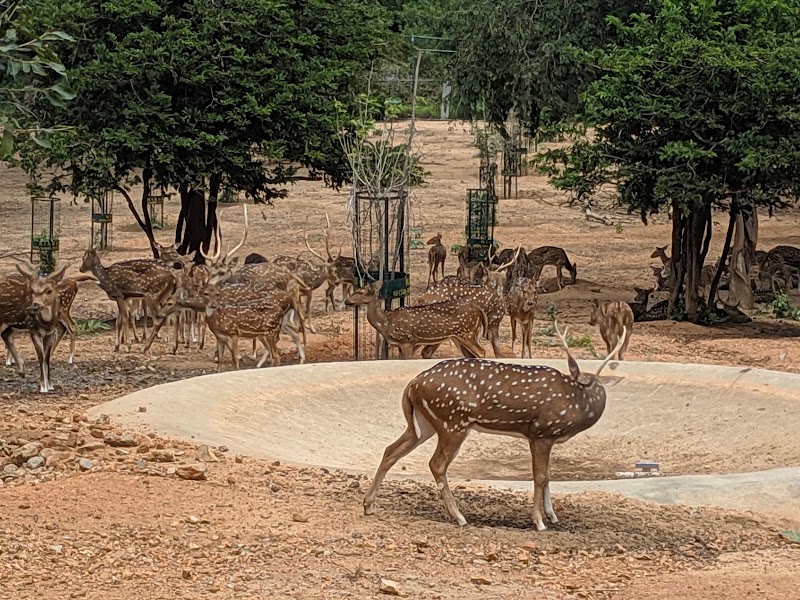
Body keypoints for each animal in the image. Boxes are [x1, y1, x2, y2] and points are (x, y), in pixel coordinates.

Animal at [344, 278, 487, 359]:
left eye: (360, 292)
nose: (347, 301)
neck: (386, 323)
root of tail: (479, 310)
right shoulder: (401, 344)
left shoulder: (407, 340)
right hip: (461, 335)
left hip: (466, 332)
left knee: (482, 352)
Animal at [362, 321, 626, 531]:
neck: (575, 402)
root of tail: (412, 385)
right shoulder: (541, 432)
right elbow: (540, 476)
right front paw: (539, 521)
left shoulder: (541, 437)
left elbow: (549, 475)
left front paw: (552, 516)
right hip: (453, 421)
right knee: (436, 464)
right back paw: (459, 517)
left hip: (424, 423)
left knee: (391, 450)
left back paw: (368, 505)